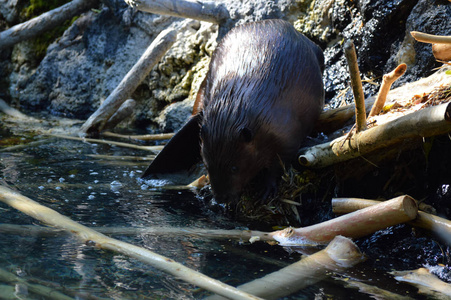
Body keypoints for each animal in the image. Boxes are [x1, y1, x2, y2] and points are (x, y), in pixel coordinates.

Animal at [143, 18, 324, 202]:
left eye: (234, 168)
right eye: (207, 165)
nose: (222, 198)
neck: (234, 108)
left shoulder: (285, 132)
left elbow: (281, 162)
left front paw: (266, 190)